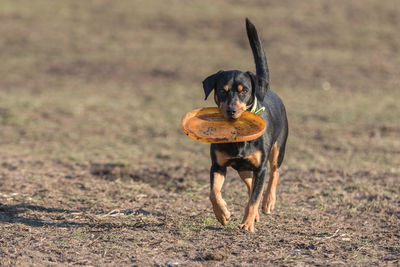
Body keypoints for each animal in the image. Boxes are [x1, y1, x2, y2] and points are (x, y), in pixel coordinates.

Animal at [203, 18, 288, 232]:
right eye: (222, 91)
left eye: (244, 90)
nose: (231, 110)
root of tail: (267, 87)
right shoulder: (218, 165)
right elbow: (213, 192)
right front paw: (223, 214)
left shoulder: (261, 167)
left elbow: (254, 198)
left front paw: (247, 224)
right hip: (243, 168)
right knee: (250, 183)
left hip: (277, 149)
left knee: (274, 174)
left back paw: (268, 202)